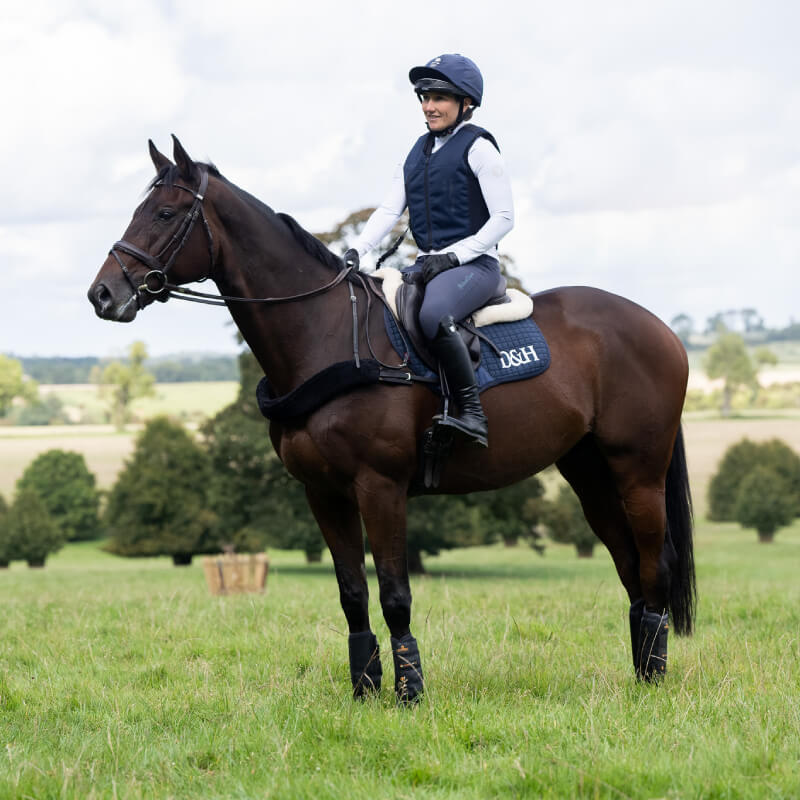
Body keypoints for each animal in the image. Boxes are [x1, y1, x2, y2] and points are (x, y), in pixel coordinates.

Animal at [88, 136, 695, 703]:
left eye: (165, 214)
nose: (103, 294)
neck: (329, 334)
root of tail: (659, 327)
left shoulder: (380, 488)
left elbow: (394, 593)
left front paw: (409, 689)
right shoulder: (323, 493)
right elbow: (352, 593)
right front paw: (365, 686)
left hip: (637, 473)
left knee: (655, 564)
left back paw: (656, 675)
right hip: (590, 474)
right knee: (629, 564)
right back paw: (643, 668)